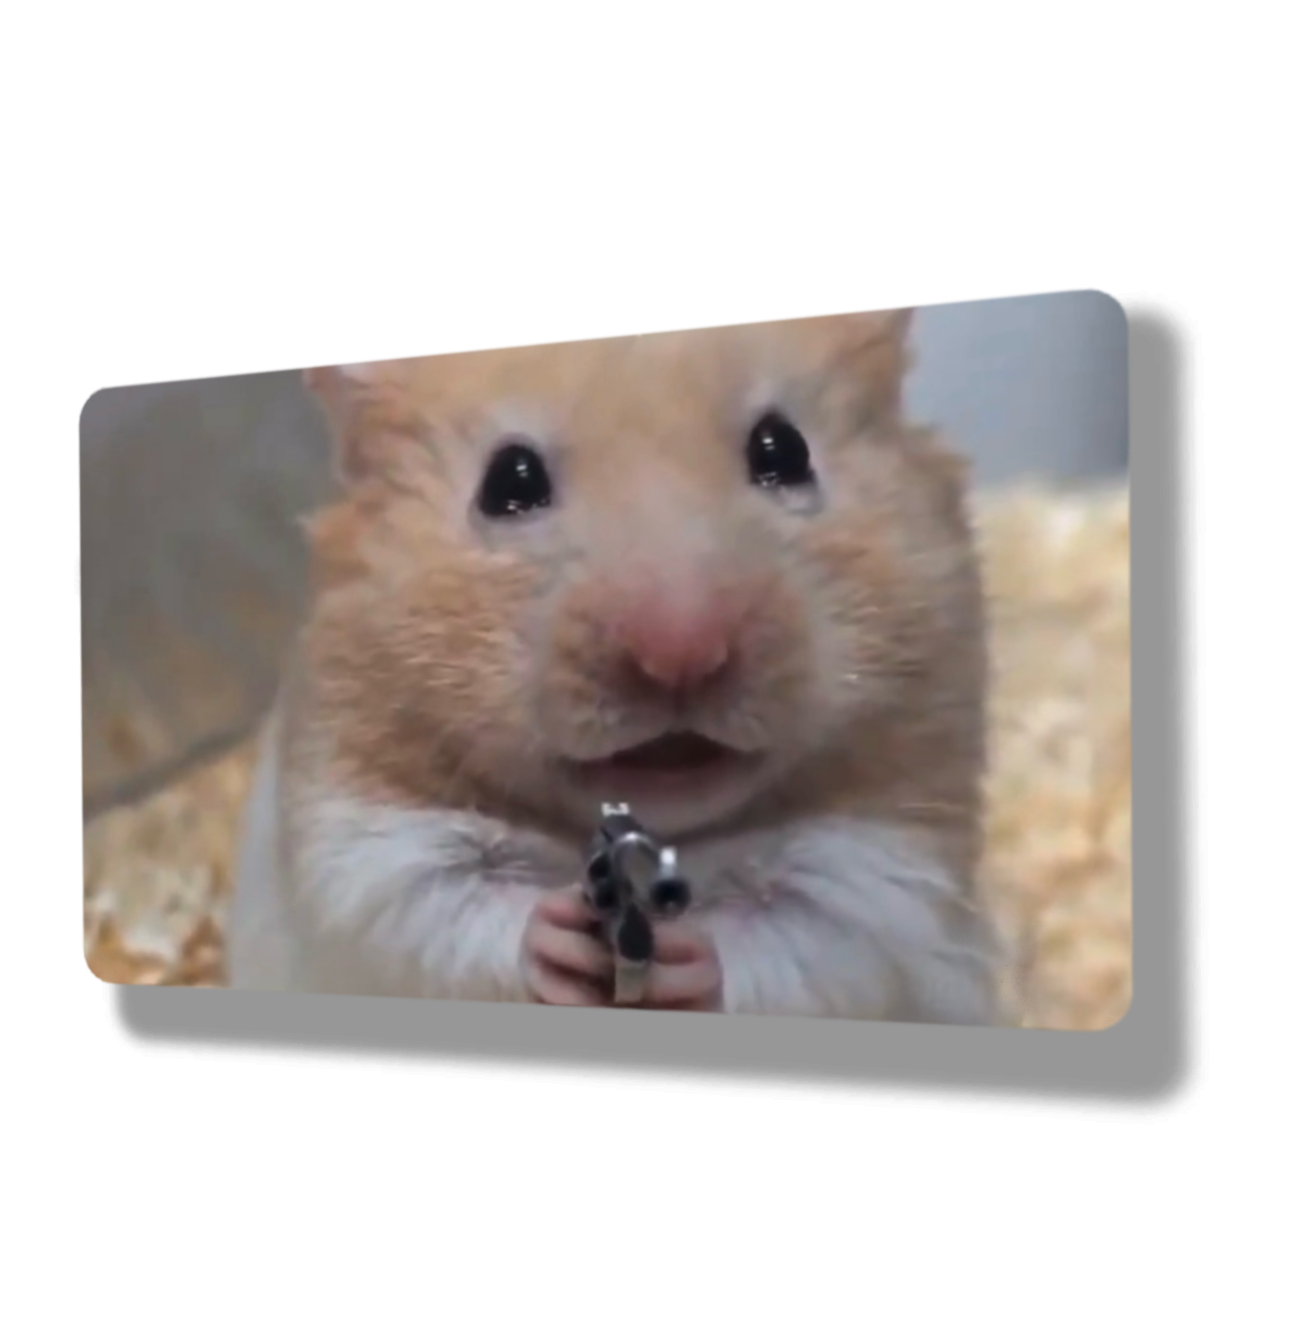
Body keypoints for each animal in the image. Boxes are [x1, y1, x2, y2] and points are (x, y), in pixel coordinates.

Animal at [227, 310, 1007, 1026]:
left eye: (783, 449)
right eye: (509, 480)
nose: (681, 651)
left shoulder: (883, 878)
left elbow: (792, 940)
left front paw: (687, 959)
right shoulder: (364, 848)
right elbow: (445, 908)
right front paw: (559, 943)